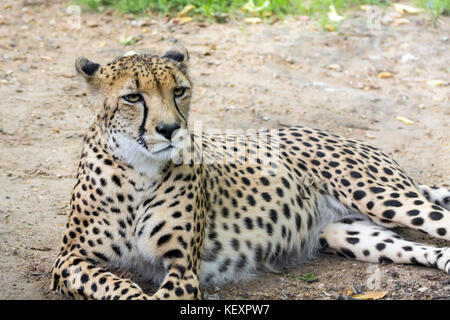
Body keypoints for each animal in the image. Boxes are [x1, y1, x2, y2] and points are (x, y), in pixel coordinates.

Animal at [50, 45, 450, 300]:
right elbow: (114, 285)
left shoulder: (182, 269)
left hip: (380, 197)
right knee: (419, 247)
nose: (170, 129)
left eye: (179, 91)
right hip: (346, 234)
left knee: (439, 219)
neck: (139, 170)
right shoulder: (69, 259)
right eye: (133, 97)